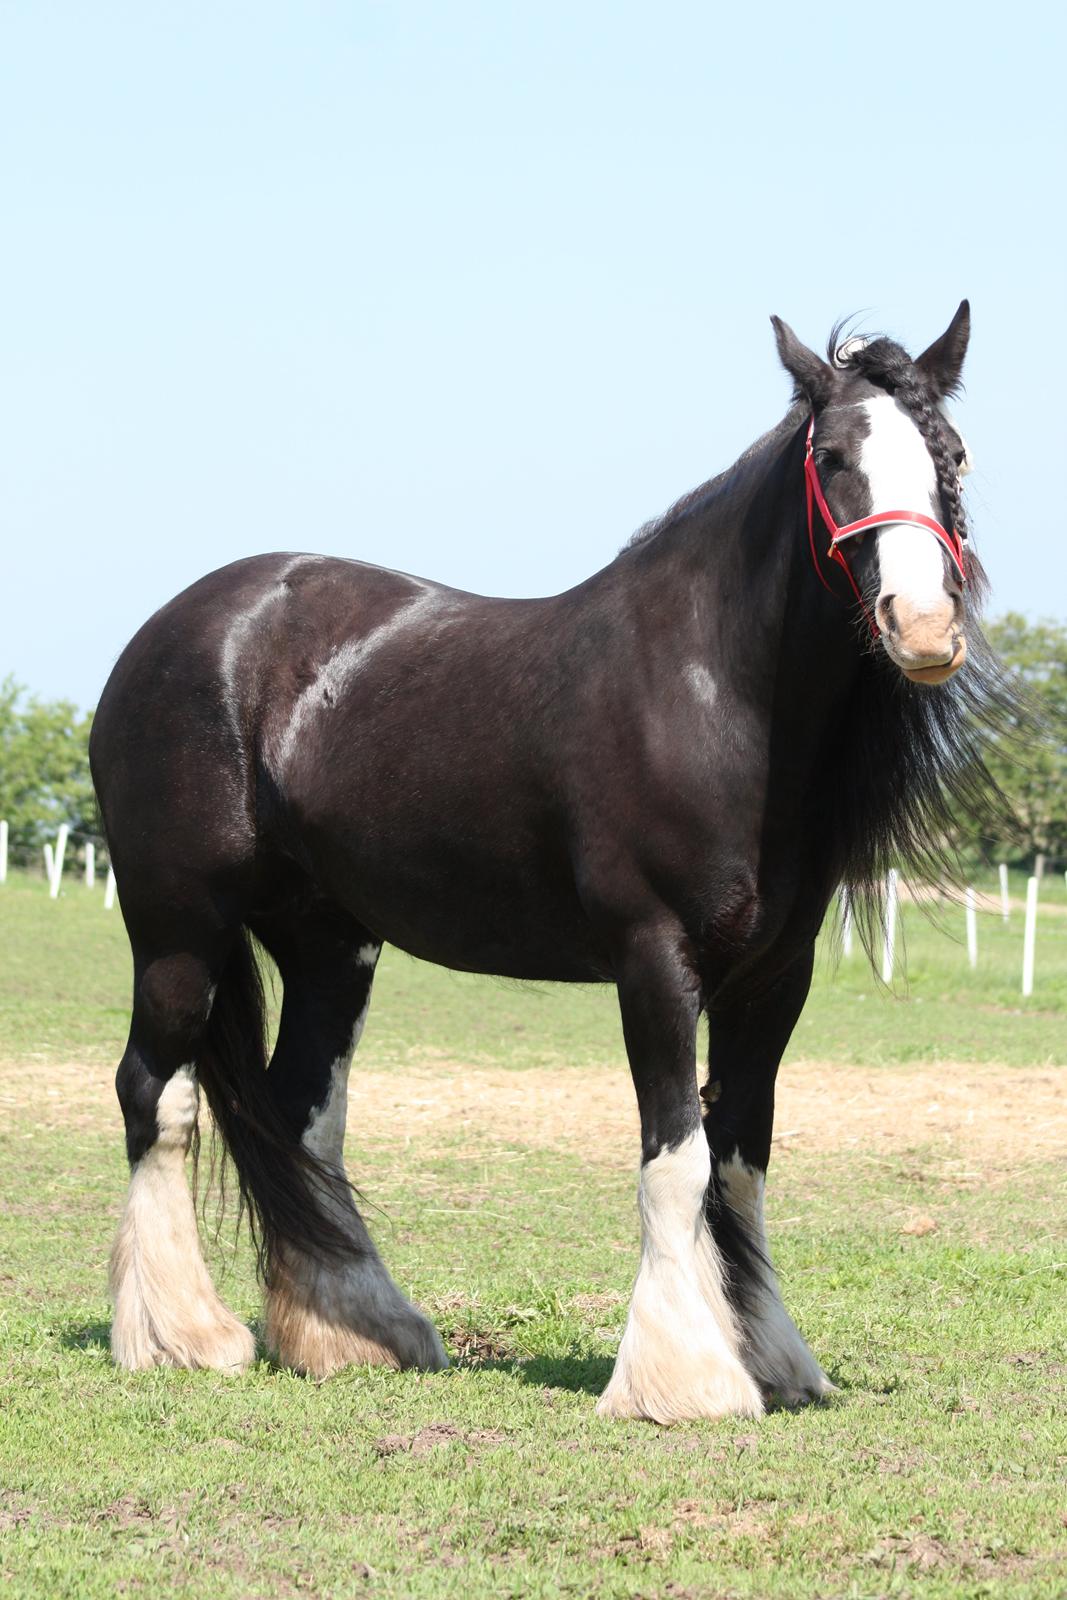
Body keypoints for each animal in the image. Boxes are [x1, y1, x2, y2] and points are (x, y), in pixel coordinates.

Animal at [89, 302, 1004, 1427]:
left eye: (948, 454)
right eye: (830, 457)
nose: (920, 627)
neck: (709, 690)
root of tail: (179, 628)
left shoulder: (773, 980)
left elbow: (739, 1161)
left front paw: (774, 1359)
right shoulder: (655, 961)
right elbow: (675, 1159)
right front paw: (684, 1381)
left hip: (328, 942)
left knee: (302, 1115)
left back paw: (352, 1332)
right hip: (180, 925)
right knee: (156, 1094)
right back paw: (181, 1336)